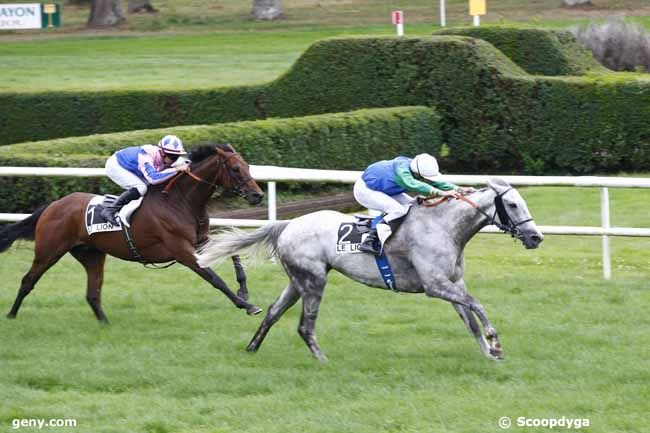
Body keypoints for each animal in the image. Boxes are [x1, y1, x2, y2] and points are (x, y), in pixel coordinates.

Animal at [0, 143, 264, 322]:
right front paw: (247, 305)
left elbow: (233, 253)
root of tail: (53, 205)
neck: (180, 201)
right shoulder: (182, 250)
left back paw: (105, 324)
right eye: (235, 169)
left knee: (93, 293)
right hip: (49, 251)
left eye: (248, 167)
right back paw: (11, 315)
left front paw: (244, 290)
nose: (257, 195)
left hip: (91, 254)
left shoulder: (201, 240)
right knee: (28, 280)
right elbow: (215, 279)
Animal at [195, 177, 544, 360]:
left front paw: (489, 353)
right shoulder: (435, 285)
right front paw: (495, 341)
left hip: (298, 281)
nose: (535, 237)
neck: (444, 227)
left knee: (272, 312)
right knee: (305, 325)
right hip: (314, 281)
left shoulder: (452, 283)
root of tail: (287, 224)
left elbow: (469, 317)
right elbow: (477, 305)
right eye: (512, 204)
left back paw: (252, 348)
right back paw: (322, 359)